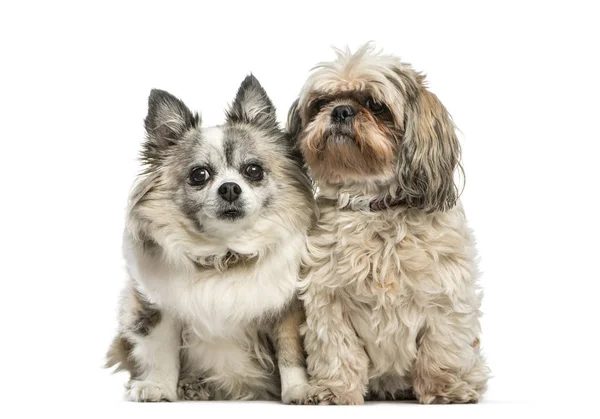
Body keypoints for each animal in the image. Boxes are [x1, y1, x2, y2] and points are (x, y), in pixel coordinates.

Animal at [106, 75, 316, 404]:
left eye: (253, 170)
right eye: (199, 175)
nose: (229, 188)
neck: (224, 254)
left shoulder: (289, 309)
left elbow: (290, 353)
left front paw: (298, 390)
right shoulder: (158, 307)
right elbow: (162, 351)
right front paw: (159, 386)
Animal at [288, 44, 490, 406]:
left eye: (374, 104)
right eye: (321, 103)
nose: (341, 111)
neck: (375, 207)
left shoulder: (446, 300)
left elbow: (441, 348)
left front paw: (445, 388)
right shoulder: (327, 302)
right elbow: (337, 350)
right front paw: (335, 390)